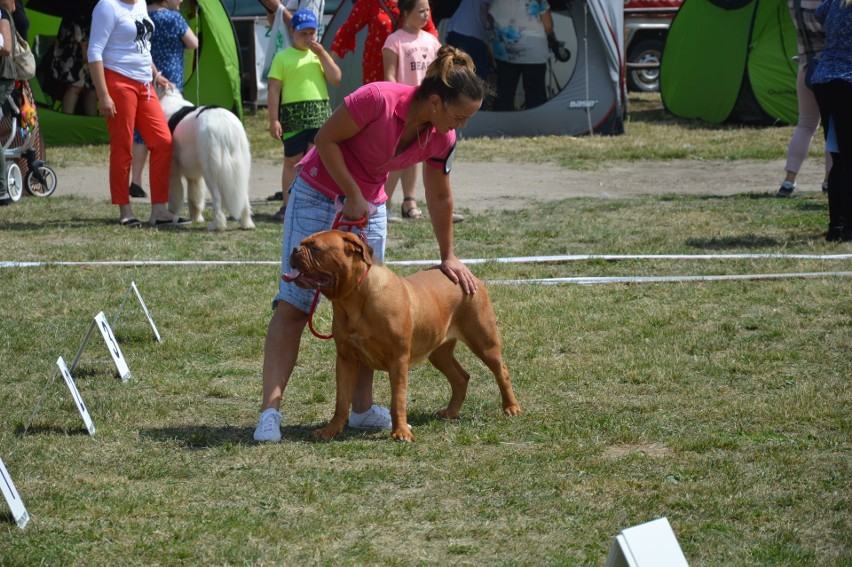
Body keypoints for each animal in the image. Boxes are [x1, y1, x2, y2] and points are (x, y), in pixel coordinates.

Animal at [157, 85, 253, 231]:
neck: (169, 97)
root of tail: (224, 123)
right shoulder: (194, 175)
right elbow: (194, 196)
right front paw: (196, 218)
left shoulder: (172, 169)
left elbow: (175, 194)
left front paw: (172, 216)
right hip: (241, 164)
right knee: (244, 197)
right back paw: (247, 223)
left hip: (211, 169)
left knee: (217, 199)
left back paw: (217, 225)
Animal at [290, 229, 524, 442]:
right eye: (302, 242)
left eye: (315, 248)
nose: (294, 249)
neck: (352, 300)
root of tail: (468, 274)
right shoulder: (346, 359)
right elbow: (341, 399)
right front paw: (330, 431)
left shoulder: (398, 359)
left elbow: (398, 400)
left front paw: (401, 432)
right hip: (439, 353)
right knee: (461, 377)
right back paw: (450, 412)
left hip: (484, 341)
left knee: (501, 371)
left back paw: (511, 408)